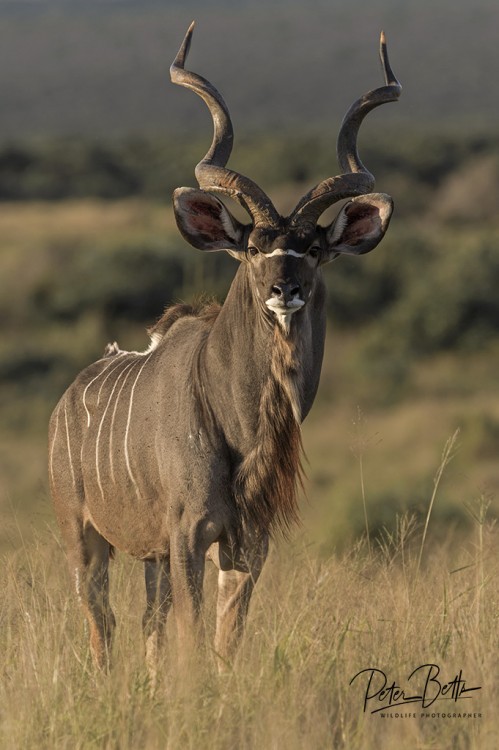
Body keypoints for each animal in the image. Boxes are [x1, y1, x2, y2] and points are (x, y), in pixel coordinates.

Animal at [48, 23, 400, 672]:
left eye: (315, 249)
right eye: (255, 247)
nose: (285, 290)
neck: (237, 425)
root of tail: (66, 401)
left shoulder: (244, 541)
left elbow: (222, 641)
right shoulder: (189, 532)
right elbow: (193, 639)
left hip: (151, 556)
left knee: (148, 622)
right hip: (83, 537)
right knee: (101, 623)